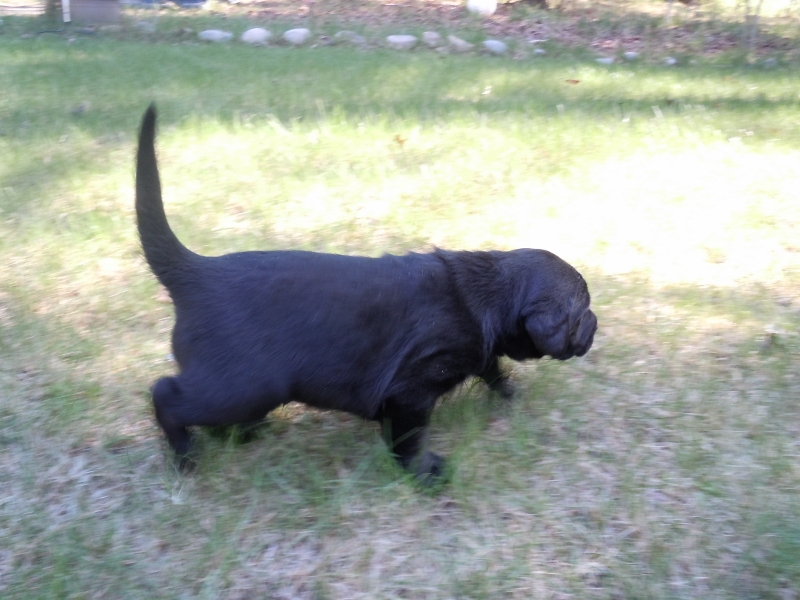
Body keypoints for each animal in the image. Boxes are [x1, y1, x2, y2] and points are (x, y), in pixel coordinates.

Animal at [136, 105, 592, 482]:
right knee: (166, 395)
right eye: (582, 311)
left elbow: (494, 370)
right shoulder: (411, 390)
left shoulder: (478, 355)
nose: (595, 324)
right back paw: (185, 457)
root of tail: (195, 272)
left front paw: (511, 394)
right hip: (245, 385)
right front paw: (424, 473)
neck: (490, 294)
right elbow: (408, 437)